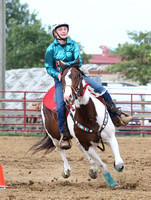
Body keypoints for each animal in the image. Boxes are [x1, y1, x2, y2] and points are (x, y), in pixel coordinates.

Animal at [32, 61, 125, 189]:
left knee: (78, 146)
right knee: (60, 148)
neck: (90, 116)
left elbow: (119, 162)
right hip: (54, 135)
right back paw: (67, 171)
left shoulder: (110, 137)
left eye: (77, 76)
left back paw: (92, 168)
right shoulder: (87, 145)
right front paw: (112, 183)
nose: (68, 97)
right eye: (62, 79)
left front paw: (116, 166)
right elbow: (102, 165)